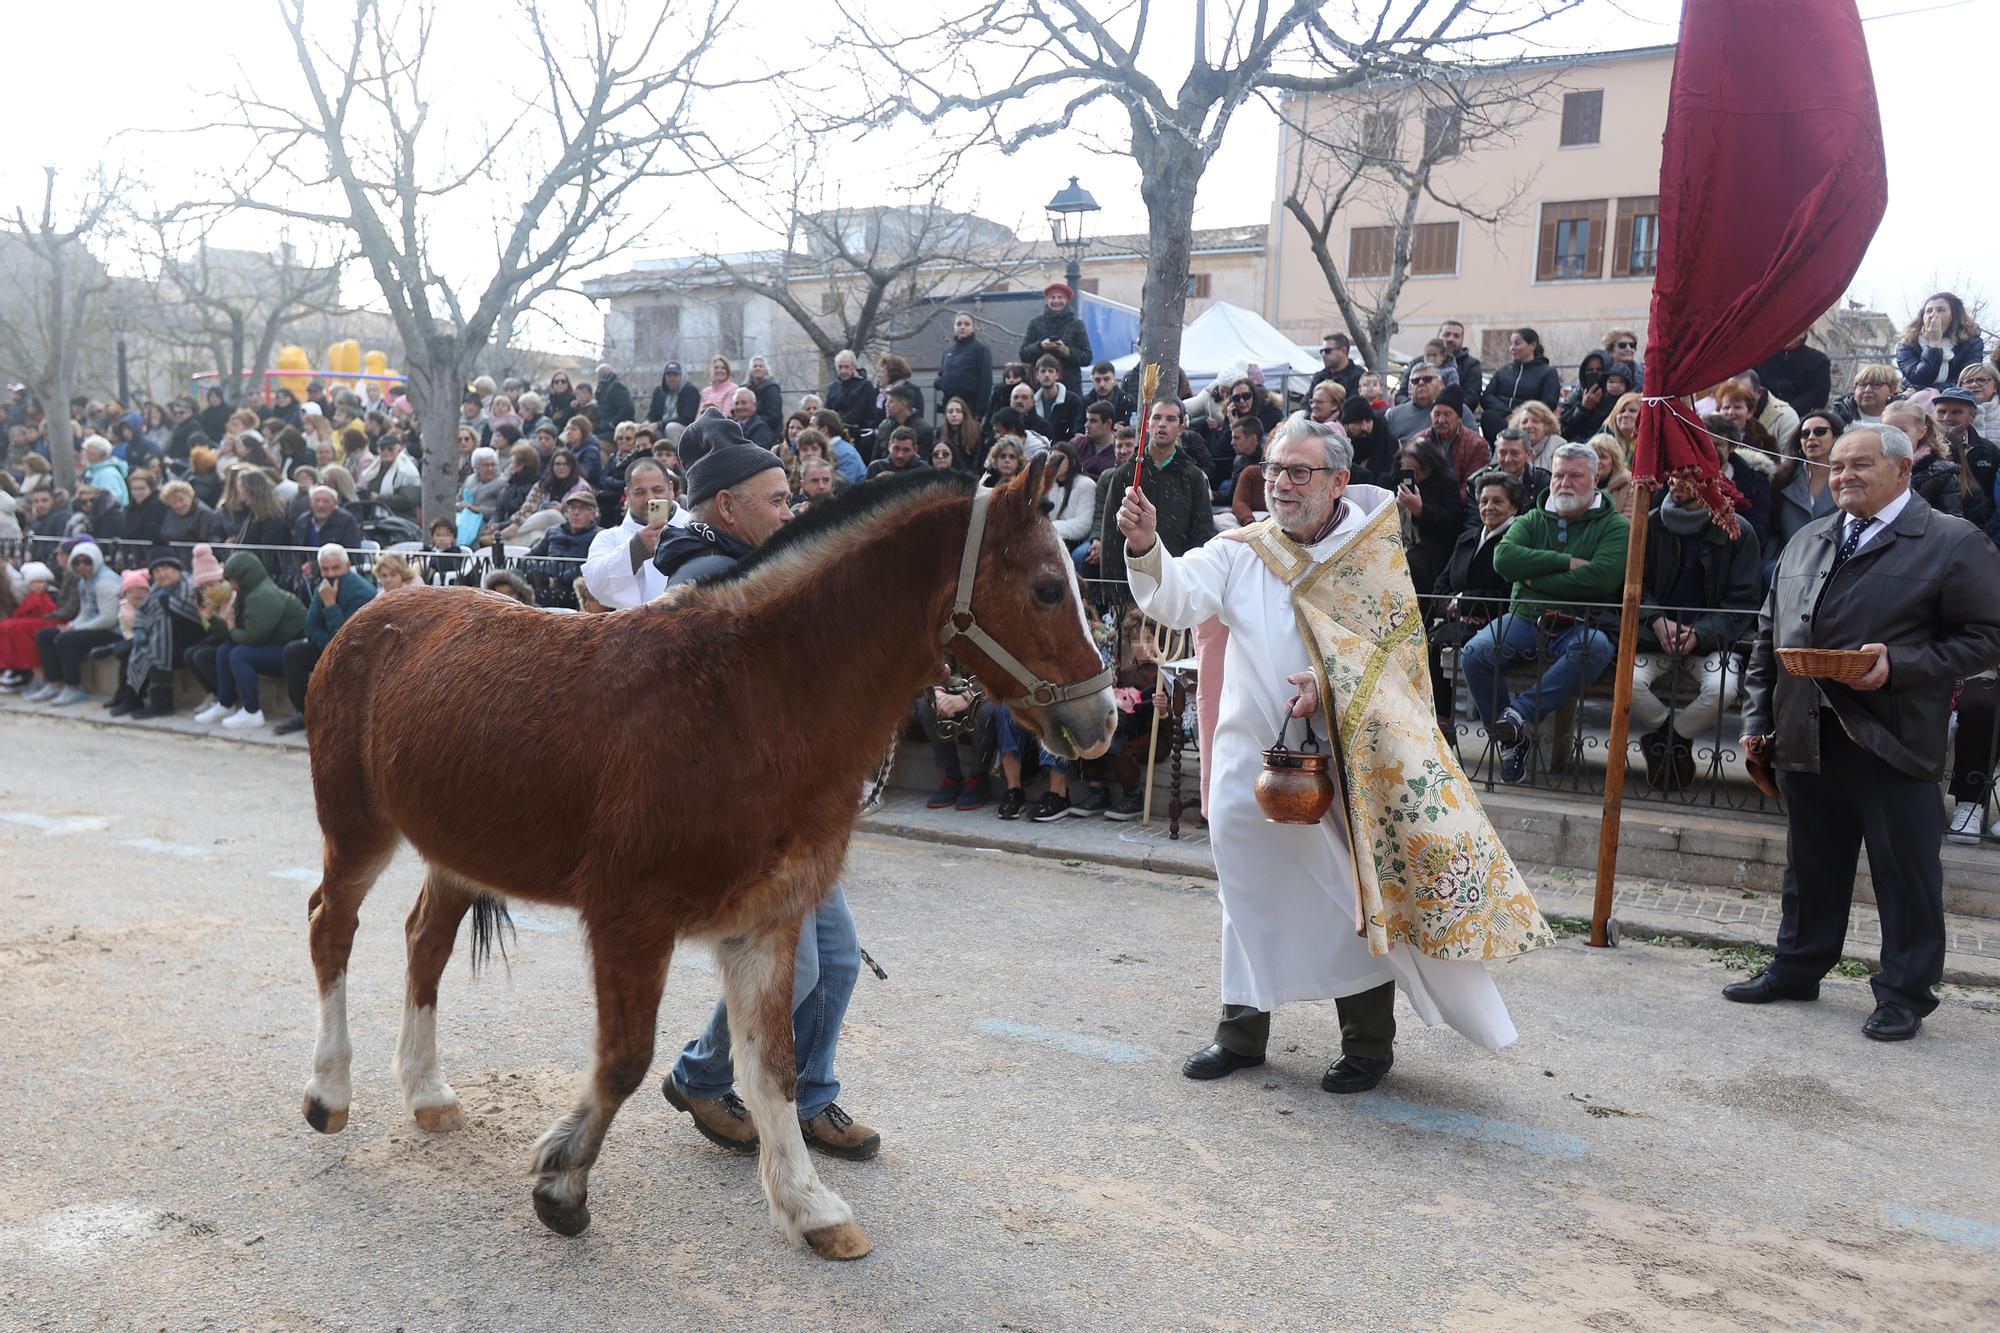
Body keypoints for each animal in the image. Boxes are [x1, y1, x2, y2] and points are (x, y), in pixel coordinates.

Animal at [300, 456, 1112, 1256]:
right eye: (1047, 587)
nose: (1099, 720)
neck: (744, 698)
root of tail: (370, 614)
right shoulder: (631, 919)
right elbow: (625, 1058)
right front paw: (562, 1184)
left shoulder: (767, 922)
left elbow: (774, 1067)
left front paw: (809, 1206)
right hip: (359, 828)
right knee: (330, 926)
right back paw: (329, 1092)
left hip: (458, 850)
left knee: (425, 942)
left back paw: (427, 1091)